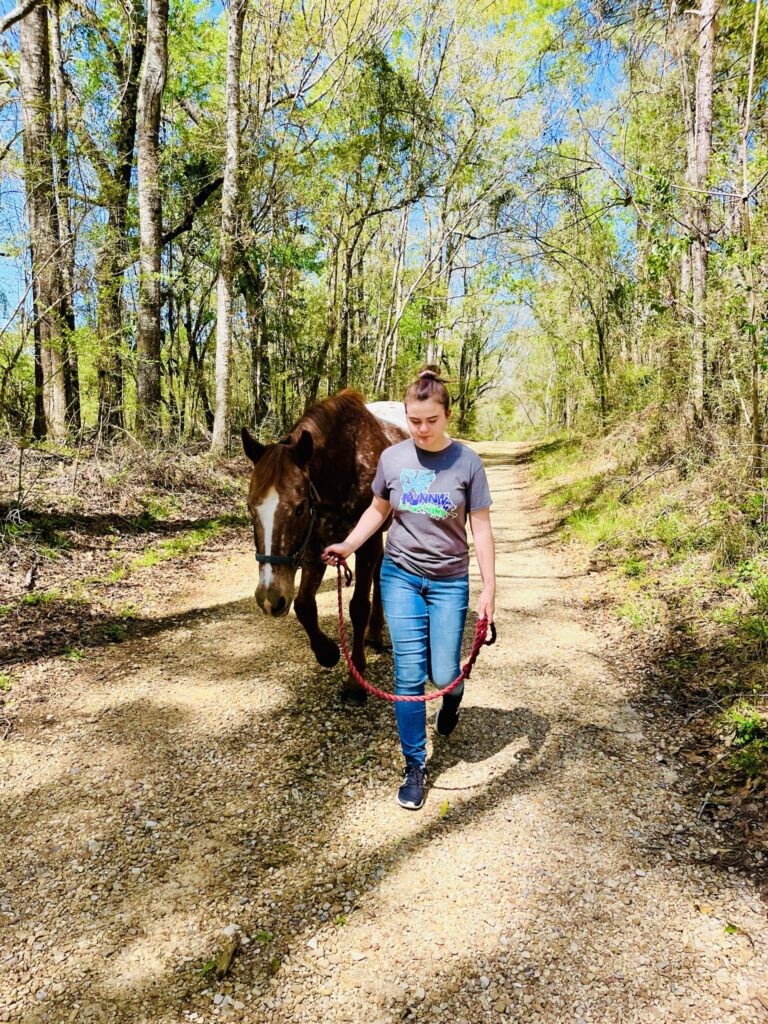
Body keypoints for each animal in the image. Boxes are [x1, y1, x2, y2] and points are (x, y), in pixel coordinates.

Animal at [241, 390, 406, 704]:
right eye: (250, 507)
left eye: (299, 508)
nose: (269, 599)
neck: (346, 465)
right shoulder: (313, 546)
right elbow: (304, 605)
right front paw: (328, 652)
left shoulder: (366, 544)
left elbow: (357, 607)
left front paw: (355, 682)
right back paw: (374, 633)